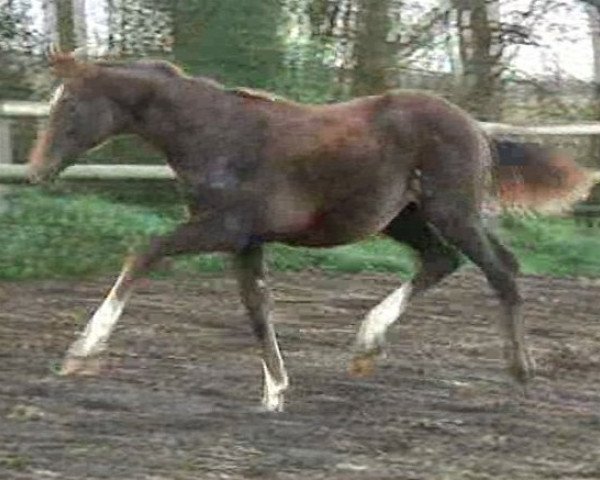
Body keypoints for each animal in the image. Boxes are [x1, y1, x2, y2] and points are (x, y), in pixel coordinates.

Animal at [27, 47, 548, 412]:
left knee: (500, 270)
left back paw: (521, 372)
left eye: (69, 106)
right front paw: (275, 391)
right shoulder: (246, 242)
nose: (36, 171)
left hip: (452, 213)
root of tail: (476, 127)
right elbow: (257, 309)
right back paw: (367, 346)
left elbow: (145, 252)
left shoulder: (223, 228)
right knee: (444, 260)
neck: (214, 134)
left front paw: (81, 353)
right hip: (407, 218)